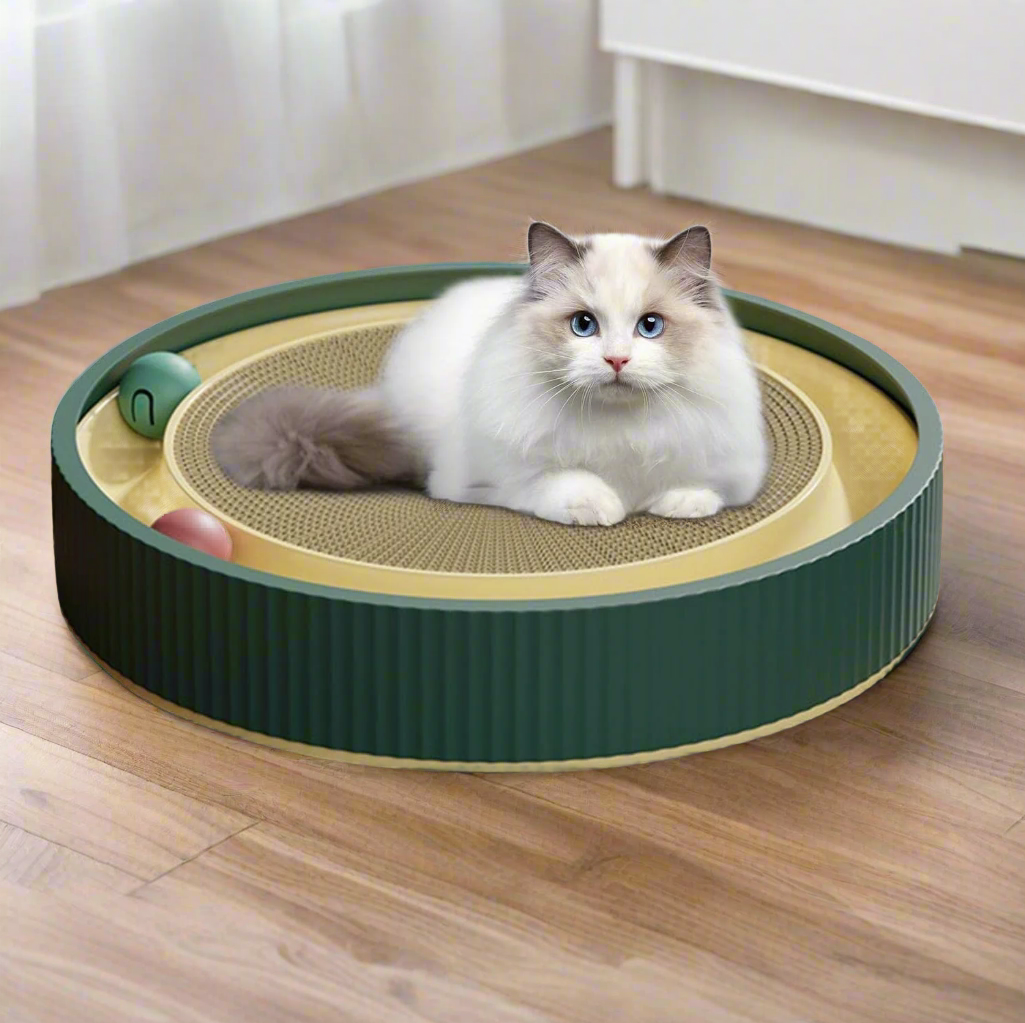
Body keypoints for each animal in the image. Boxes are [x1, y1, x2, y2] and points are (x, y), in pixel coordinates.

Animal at [212, 224, 766, 528]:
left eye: (650, 327)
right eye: (584, 325)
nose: (616, 361)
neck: (619, 435)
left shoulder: (728, 468)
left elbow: (697, 486)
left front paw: (678, 504)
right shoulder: (490, 483)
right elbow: (564, 484)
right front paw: (601, 506)